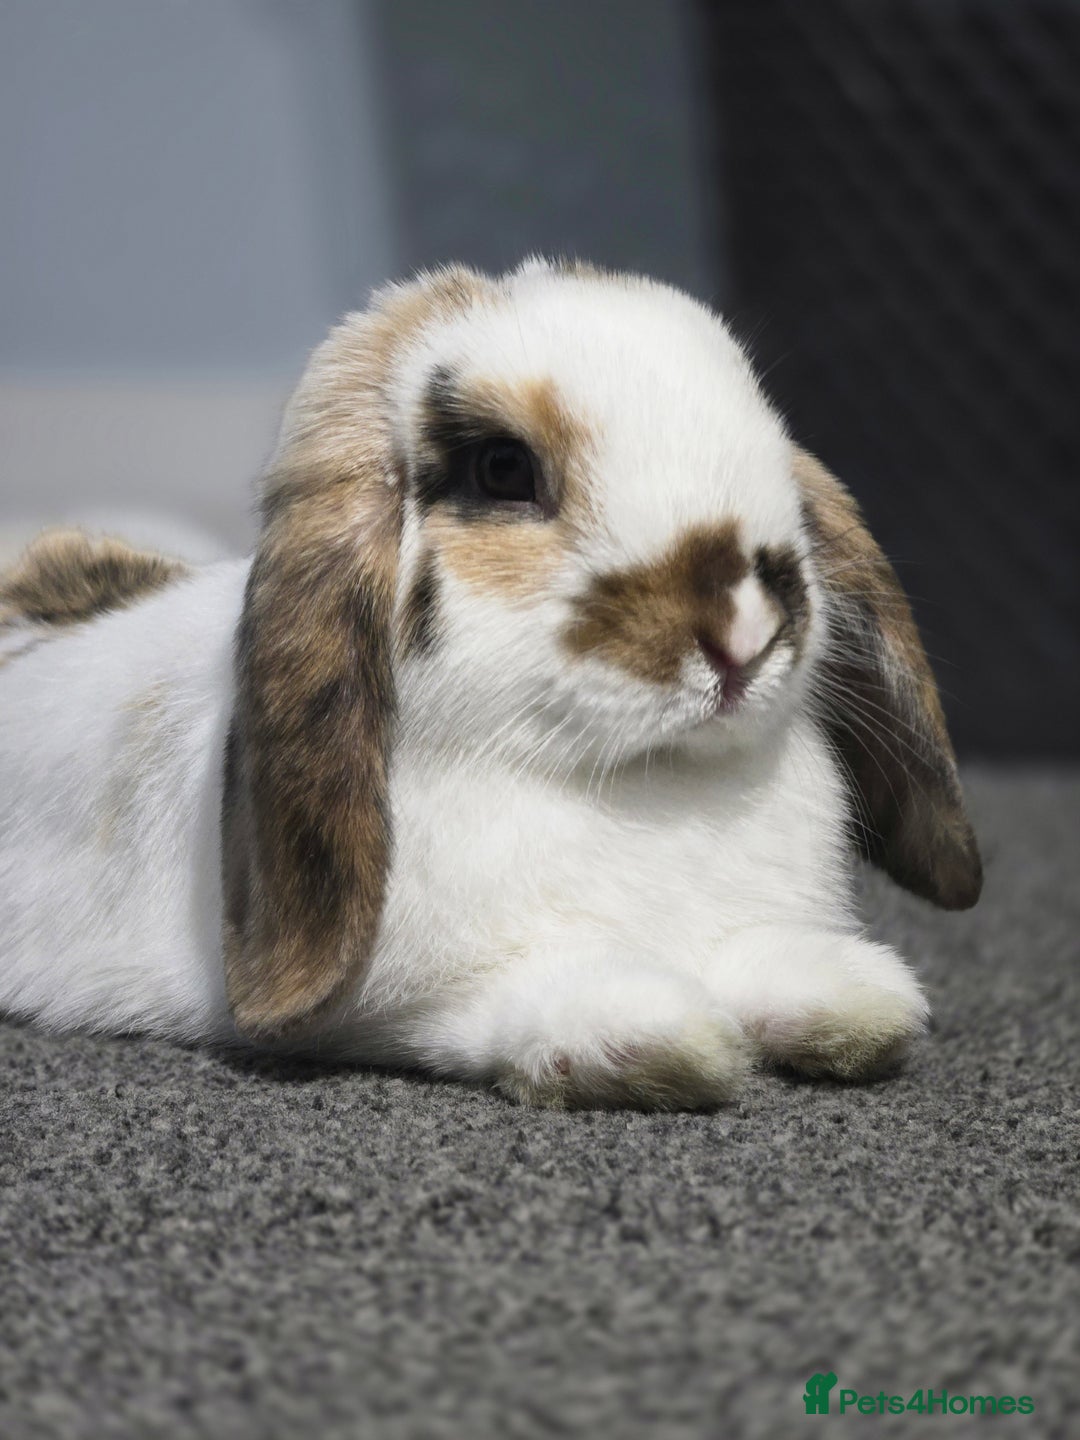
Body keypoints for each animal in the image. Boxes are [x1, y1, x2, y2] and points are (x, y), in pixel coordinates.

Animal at [0, 258, 982, 1109]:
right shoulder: (412, 1006)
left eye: (772, 442)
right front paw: (657, 1040)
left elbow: (764, 961)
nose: (746, 629)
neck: (643, 784)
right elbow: (522, 998)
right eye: (504, 468)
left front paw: (853, 1001)